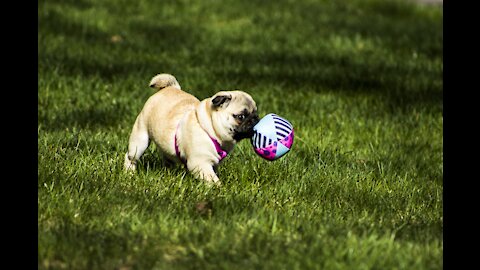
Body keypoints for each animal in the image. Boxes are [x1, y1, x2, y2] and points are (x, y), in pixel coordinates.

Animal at [124, 73, 258, 185]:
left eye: (256, 113)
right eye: (241, 116)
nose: (255, 119)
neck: (209, 128)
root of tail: (170, 88)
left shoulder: (213, 164)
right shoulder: (200, 163)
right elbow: (212, 179)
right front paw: (219, 188)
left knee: (167, 160)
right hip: (140, 140)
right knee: (131, 157)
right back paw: (129, 173)